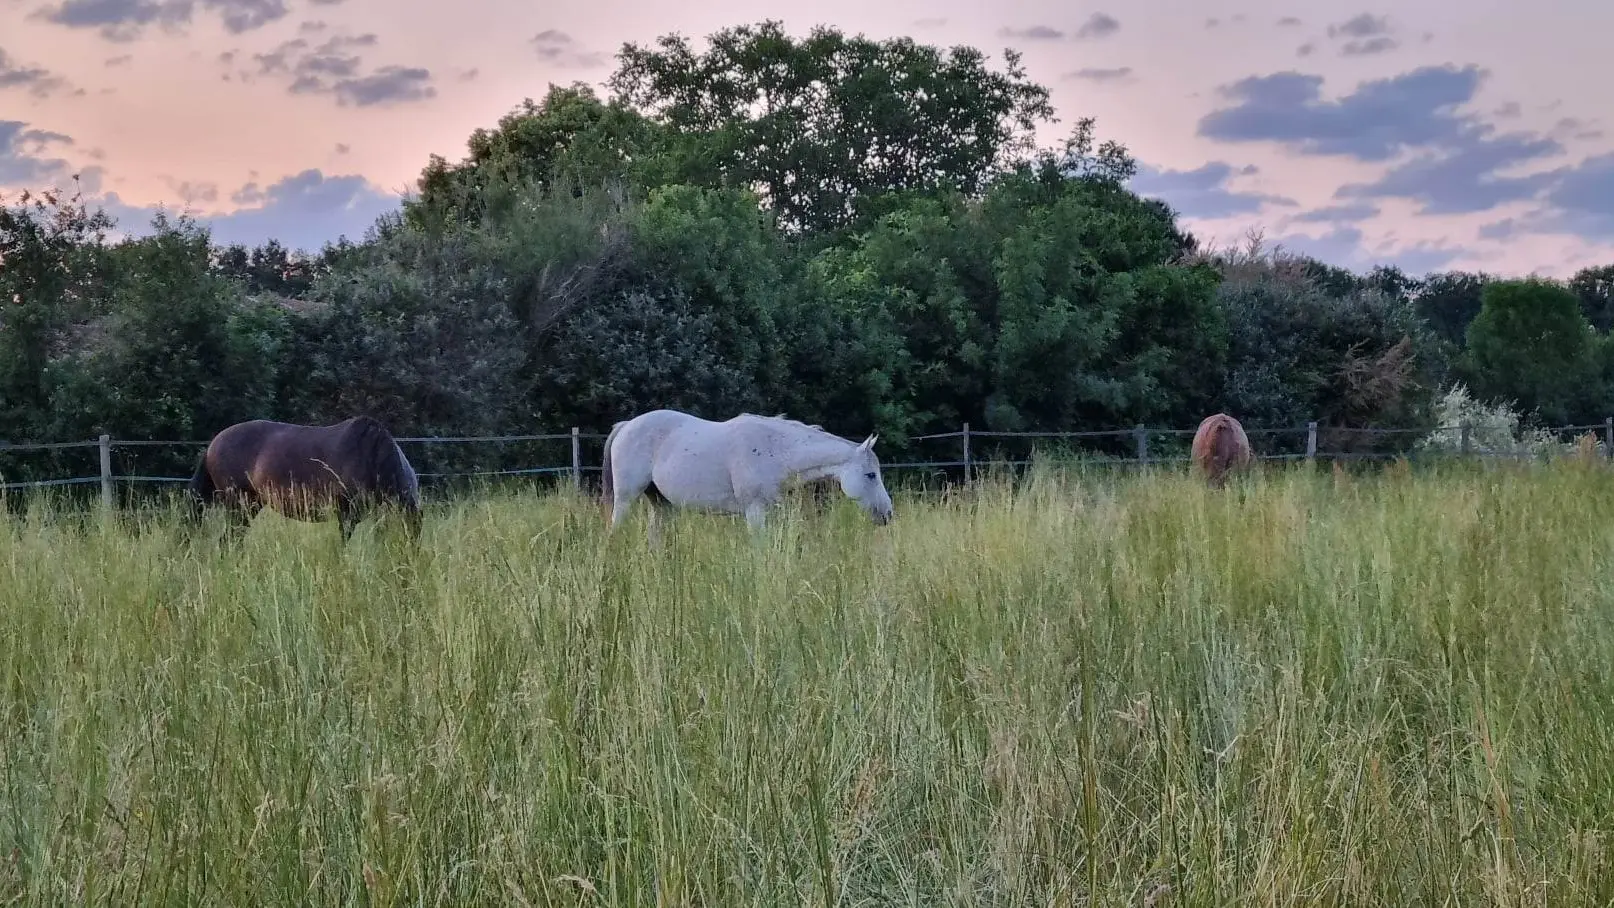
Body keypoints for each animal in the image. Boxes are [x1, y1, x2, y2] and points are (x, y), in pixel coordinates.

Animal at [600, 408, 897, 535]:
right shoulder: (755, 511)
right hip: (626, 498)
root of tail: (627, 425)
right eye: (871, 475)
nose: (888, 514)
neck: (777, 449)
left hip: (661, 504)